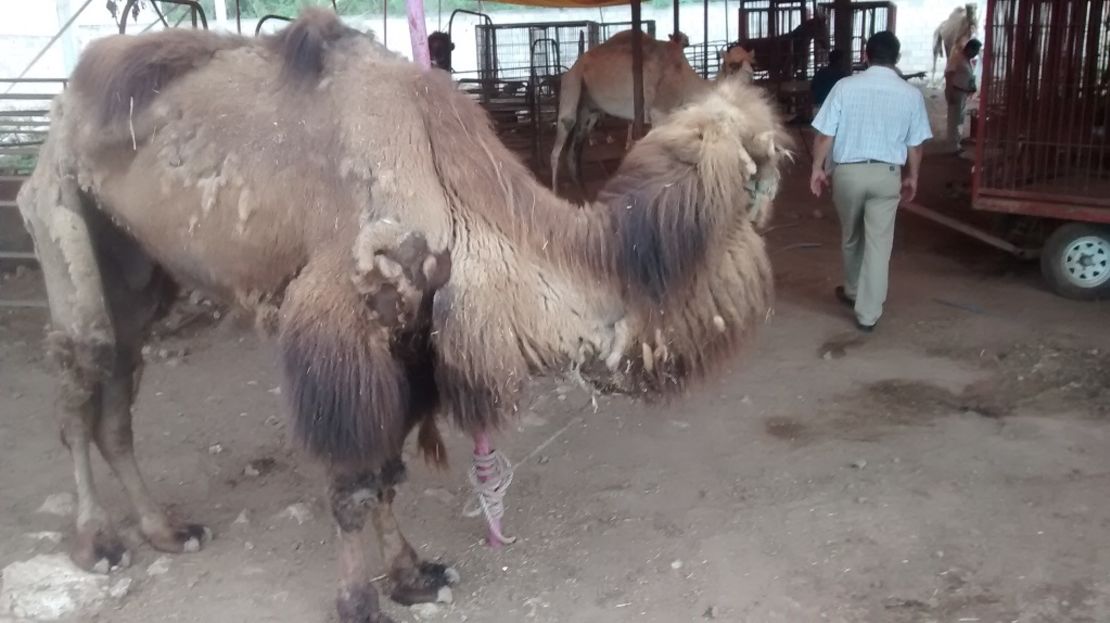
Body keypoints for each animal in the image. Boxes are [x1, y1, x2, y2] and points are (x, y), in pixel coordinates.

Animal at [552, 29, 759, 189]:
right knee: (558, 146)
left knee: (573, 152)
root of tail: (574, 66)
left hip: (589, 110)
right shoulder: (659, 112)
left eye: (752, 63)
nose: (751, 77)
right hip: (571, 87)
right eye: (733, 64)